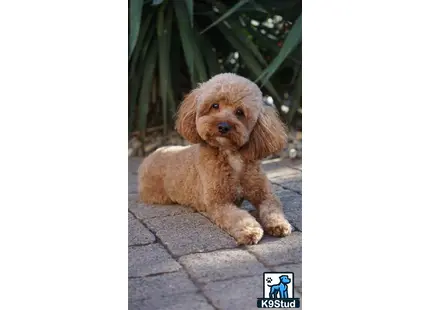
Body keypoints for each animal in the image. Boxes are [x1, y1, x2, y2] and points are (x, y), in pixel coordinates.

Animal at [138, 72, 292, 245]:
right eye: (215, 106)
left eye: (240, 112)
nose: (223, 126)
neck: (231, 157)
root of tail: (152, 154)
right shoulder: (219, 203)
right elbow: (238, 217)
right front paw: (250, 230)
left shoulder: (264, 194)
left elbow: (273, 207)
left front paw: (279, 224)